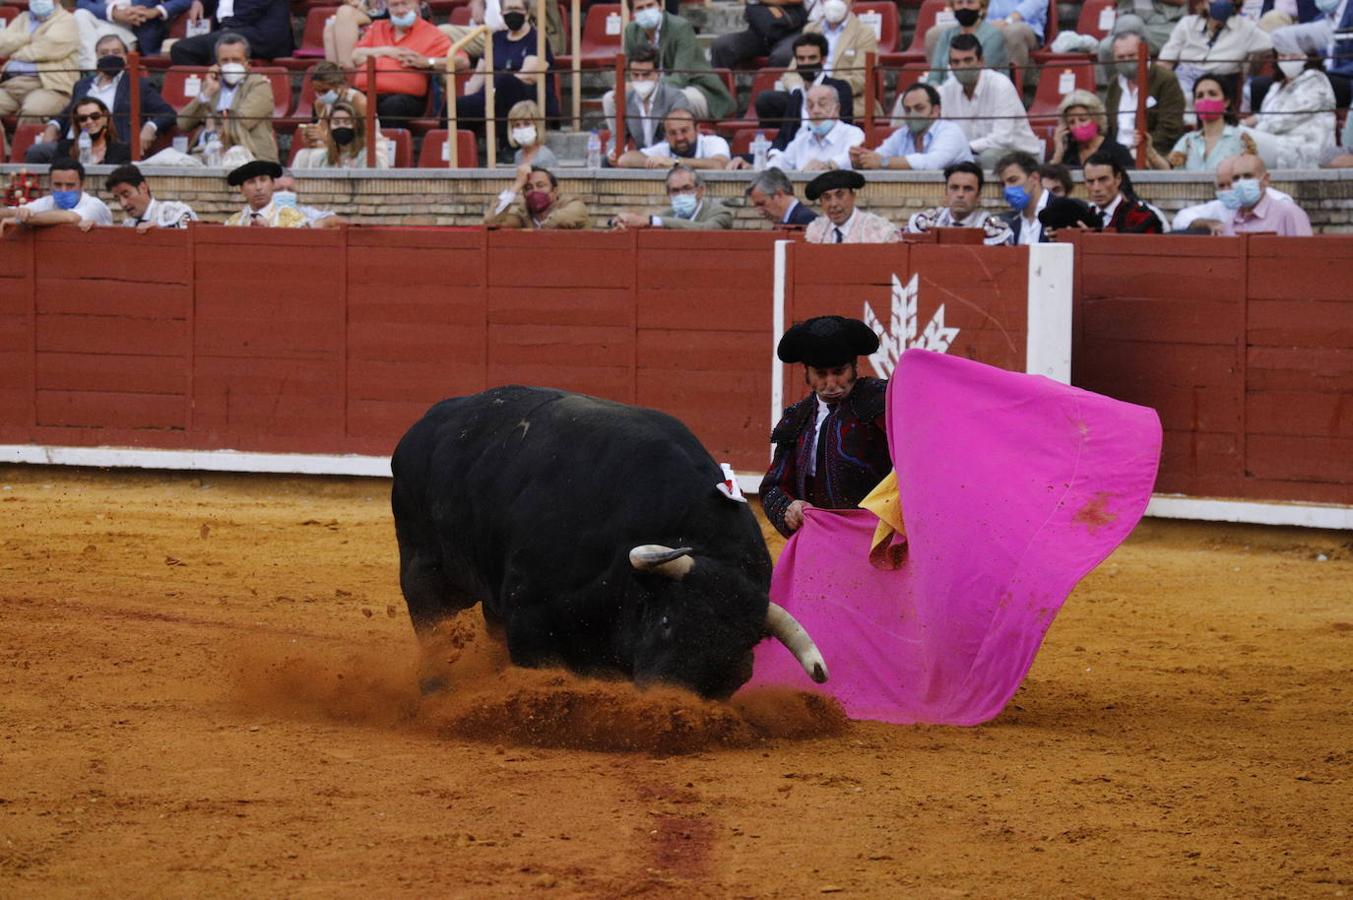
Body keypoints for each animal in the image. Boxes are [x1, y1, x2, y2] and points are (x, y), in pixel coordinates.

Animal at [392, 384, 822, 692]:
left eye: (738, 657)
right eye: (666, 622)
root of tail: (429, 423)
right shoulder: (530, 615)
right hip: (423, 564)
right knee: (431, 621)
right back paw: (436, 687)